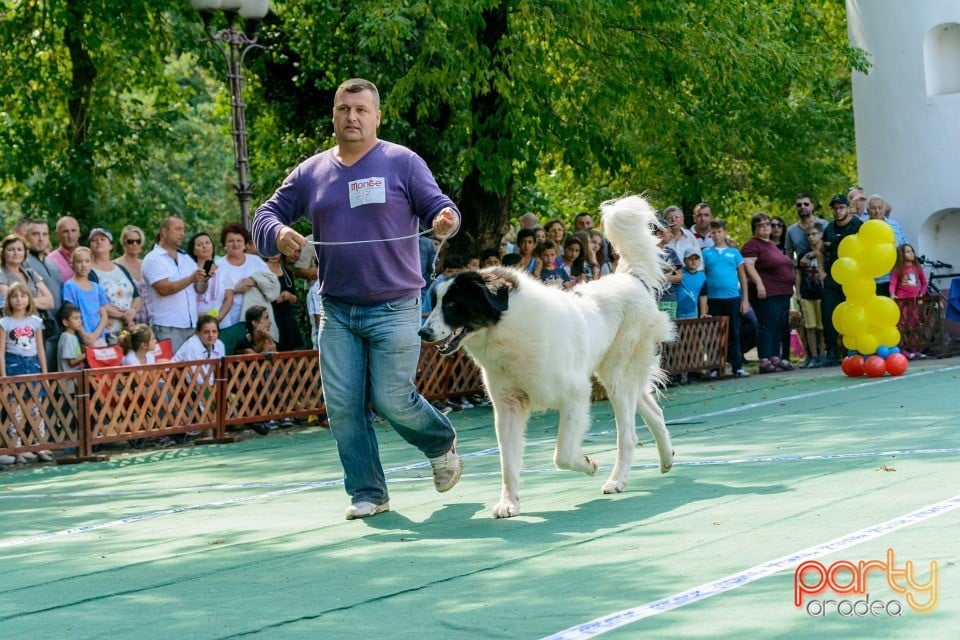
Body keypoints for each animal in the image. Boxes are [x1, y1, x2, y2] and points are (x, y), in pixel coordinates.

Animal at [420, 194, 676, 516]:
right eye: (434, 302)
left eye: (453, 304)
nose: (423, 332)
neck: (507, 330)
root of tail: (630, 278)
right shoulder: (508, 406)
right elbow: (508, 461)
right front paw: (509, 502)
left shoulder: (574, 394)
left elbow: (562, 454)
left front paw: (588, 464)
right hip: (619, 375)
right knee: (653, 411)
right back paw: (666, 460)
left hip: (618, 375)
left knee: (628, 435)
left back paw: (617, 481)